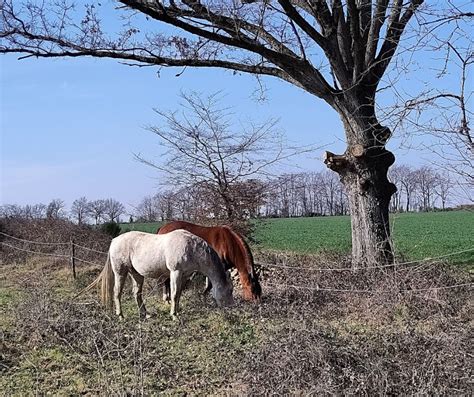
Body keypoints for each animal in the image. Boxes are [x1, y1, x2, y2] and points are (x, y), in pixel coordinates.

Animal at [79, 229, 233, 318]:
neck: (191, 248)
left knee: (137, 293)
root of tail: (114, 240)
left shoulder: (184, 275)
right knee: (117, 292)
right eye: (230, 291)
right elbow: (174, 294)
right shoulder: (175, 272)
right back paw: (121, 315)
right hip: (120, 272)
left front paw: (177, 311)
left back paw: (145, 314)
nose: (230, 309)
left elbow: (178, 294)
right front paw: (174, 316)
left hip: (136, 274)